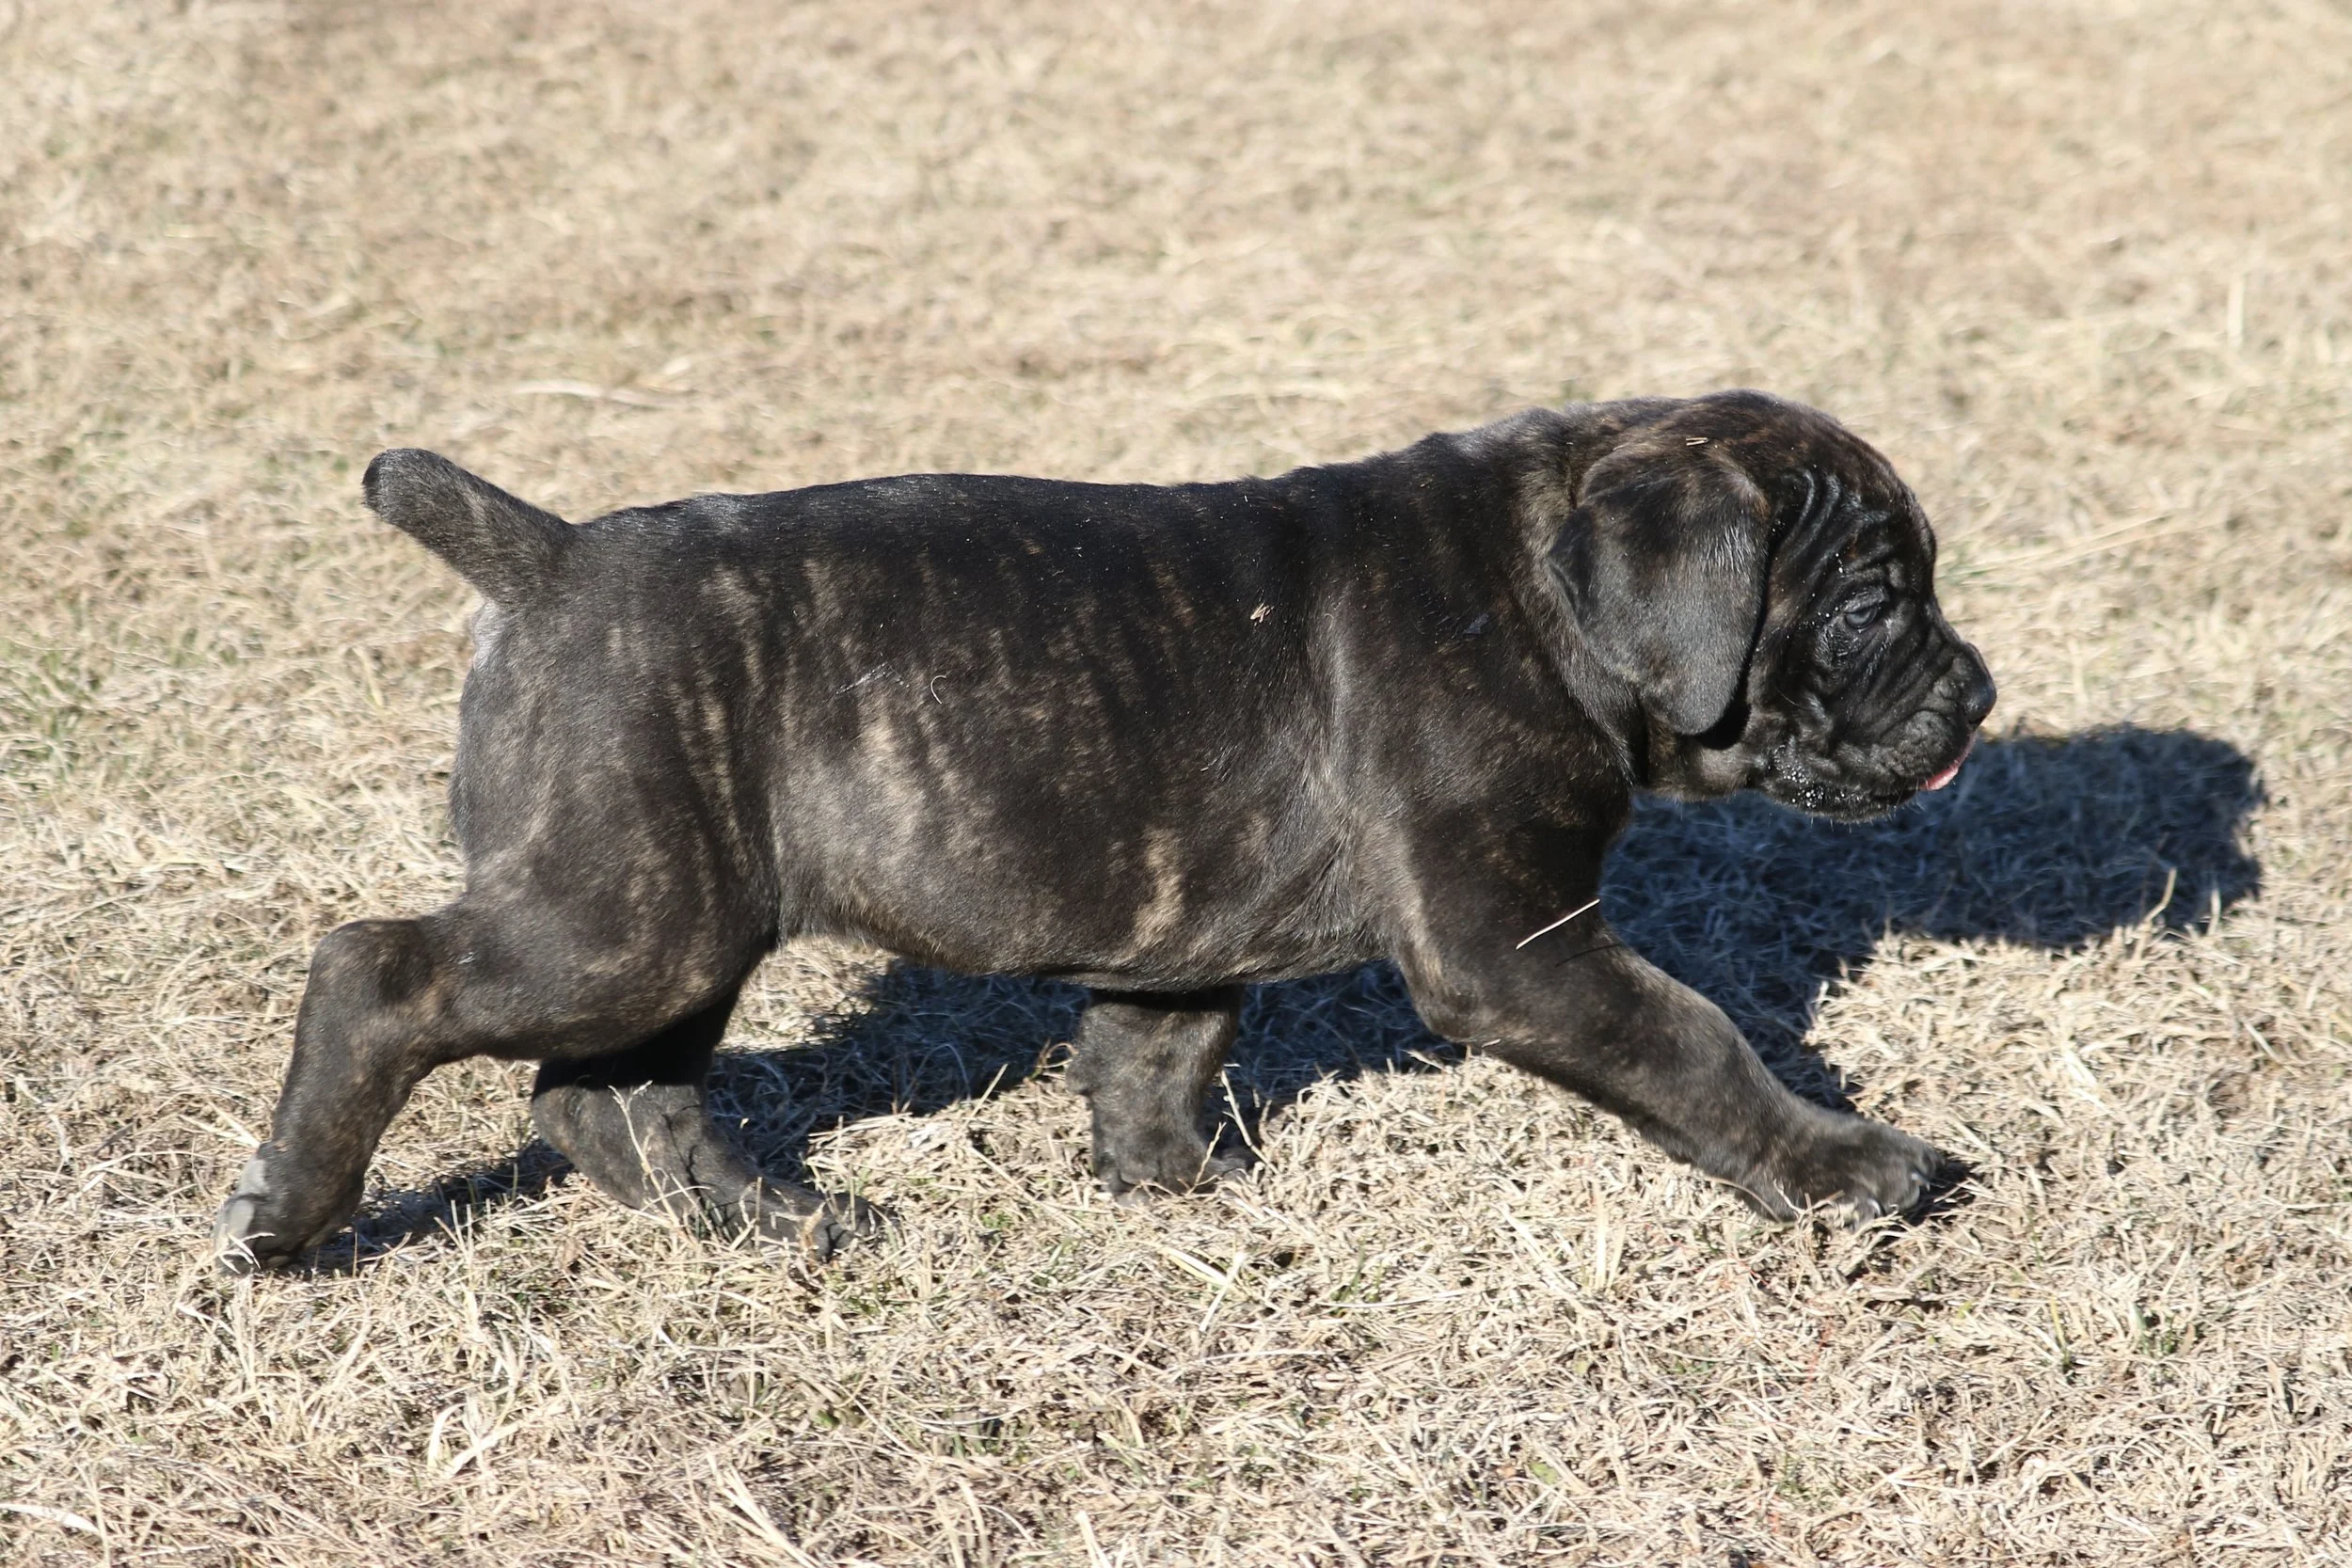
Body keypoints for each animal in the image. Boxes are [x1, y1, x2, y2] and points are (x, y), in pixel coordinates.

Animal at [213, 390, 1995, 1271]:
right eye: (1867, 605)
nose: (1976, 694)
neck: (1540, 591)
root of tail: (553, 554)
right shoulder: (1523, 946)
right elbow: (1695, 1040)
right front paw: (1851, 1167)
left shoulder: (1179, 930)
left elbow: (1158, 1057)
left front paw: (1183, 1191)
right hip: (616, 913)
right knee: (380, 972)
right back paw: (289, 1220)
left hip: (679, 921)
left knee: (606, 1094)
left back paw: (775, 1226)